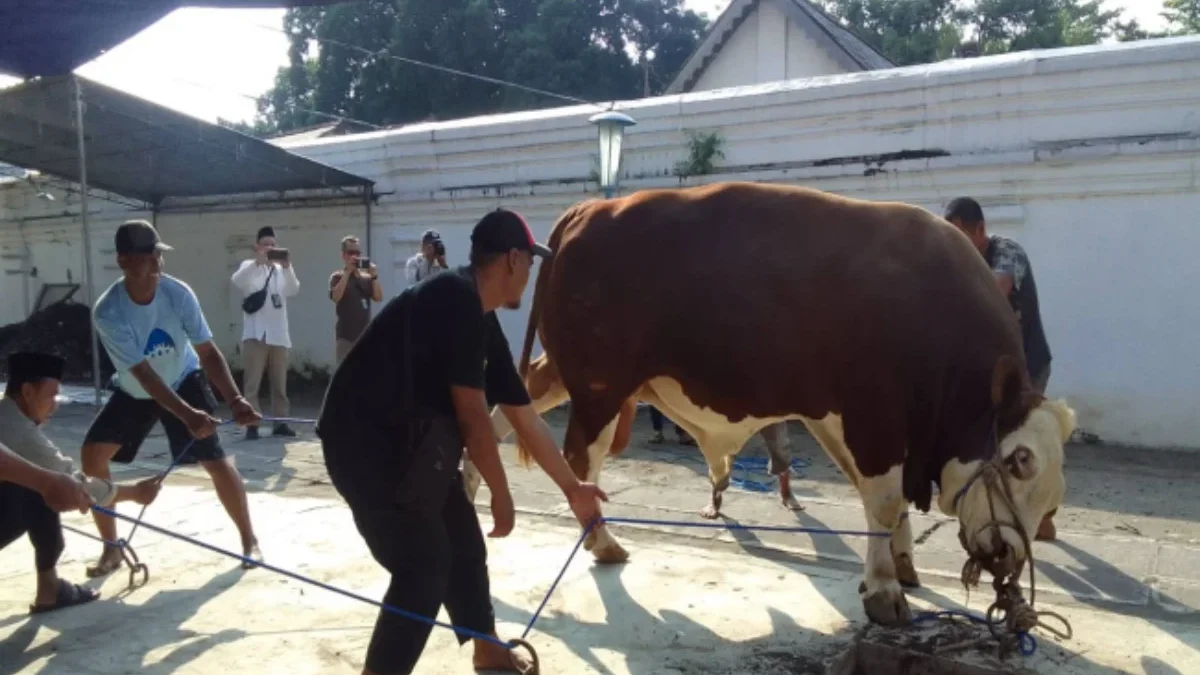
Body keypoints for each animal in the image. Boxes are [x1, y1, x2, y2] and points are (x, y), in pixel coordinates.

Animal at [511, 181, 1075, 624]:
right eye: (1020, 460)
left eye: (1057, 490)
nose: (1009, 556)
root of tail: (590, 208)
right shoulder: (874, 418)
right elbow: (884, 500)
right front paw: (884, 590)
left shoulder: (842, 418)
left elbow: (882, 501)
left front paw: (901, 564)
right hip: (601, 387)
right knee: (581, 460)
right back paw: (602, 542)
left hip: (568, 373)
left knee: (510, 406)